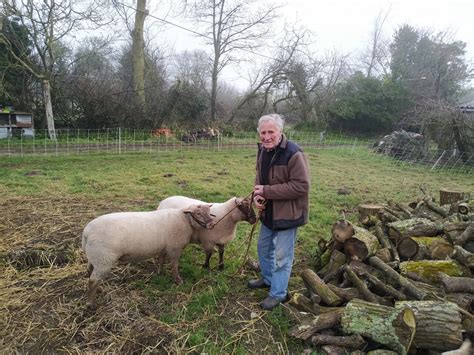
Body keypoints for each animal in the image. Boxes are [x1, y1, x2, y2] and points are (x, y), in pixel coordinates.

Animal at [82, 204, 214, 308]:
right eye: (198, 213)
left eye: (209, 212)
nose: (211, 225)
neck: (184, 219)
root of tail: (86, 233)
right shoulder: (174, 248)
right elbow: (174, 265)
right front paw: (178, 280)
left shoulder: (163, 247)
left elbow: (161, 259)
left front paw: (160, 271)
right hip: (104, 259)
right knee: (93, 280)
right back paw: (90, 303)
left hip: (95, 257)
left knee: (90, 271)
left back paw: (97, 290)